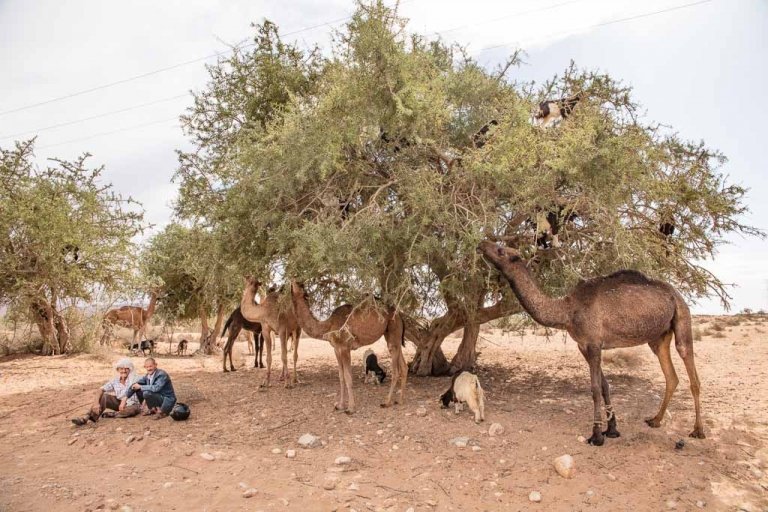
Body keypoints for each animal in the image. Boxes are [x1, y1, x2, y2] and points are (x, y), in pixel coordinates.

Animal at [288, 282, 408, 414]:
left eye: (299, 285)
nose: (293, 282)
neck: (328, 326)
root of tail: (400, 316)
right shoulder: (336, 349)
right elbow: (341, 377)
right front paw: (340, 405)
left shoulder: (345, 348)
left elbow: (348, 376)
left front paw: (350, 408)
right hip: (392, 336)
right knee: (404, 366)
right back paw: (400, 400)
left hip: (393, 330)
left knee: (396, 370)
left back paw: (387, 402)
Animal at [476, 242, 704, 446]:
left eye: (500, 250)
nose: (481, 244)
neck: (567, 311)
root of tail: (675, 293)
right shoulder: (584, 345)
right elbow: (604, 385)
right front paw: (612, 429)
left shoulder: (594, 343)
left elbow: (594, 388)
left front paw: (596, 436)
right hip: (658, 337)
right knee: (671, 376)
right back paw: (655, 420)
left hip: (682, 316)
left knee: (691, 369)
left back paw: (698, 430)